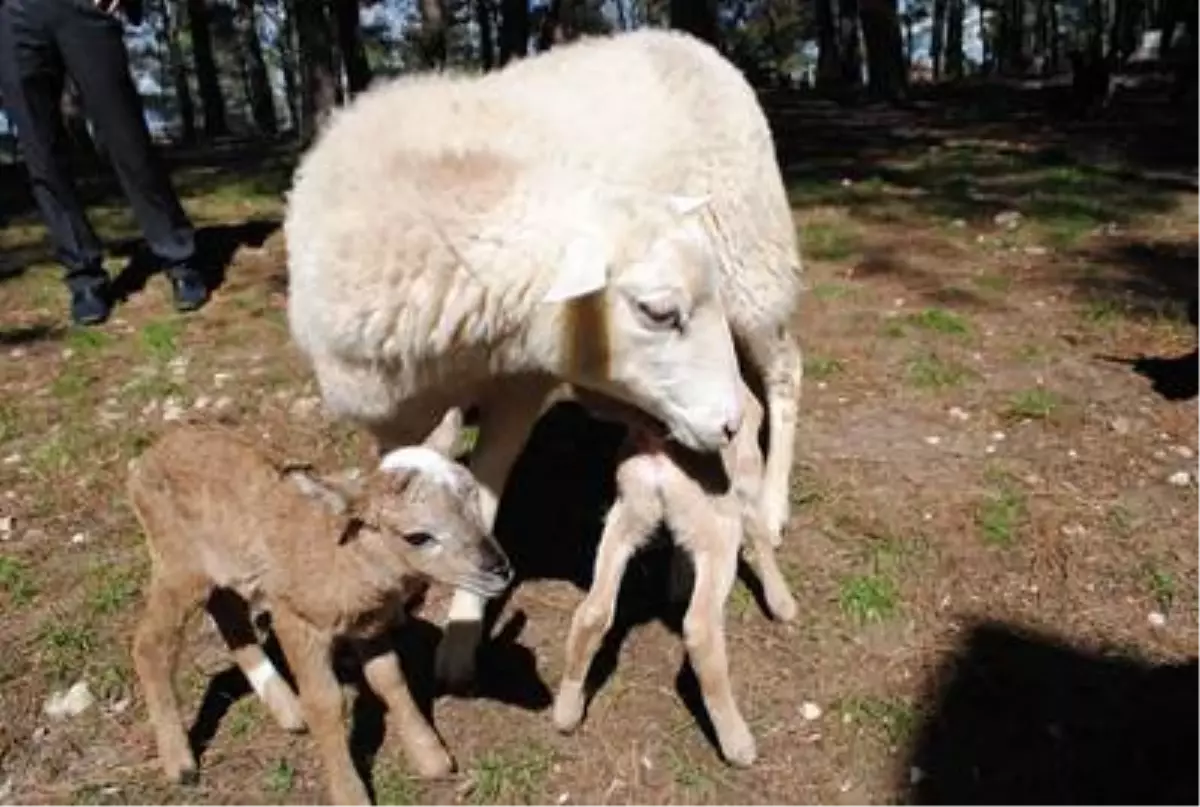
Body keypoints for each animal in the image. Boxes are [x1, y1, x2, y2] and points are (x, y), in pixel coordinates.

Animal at [126, 413, 511, 806]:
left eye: (475, 499)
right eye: (417, 537)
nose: (500, 569)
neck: (347, 558)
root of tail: (148, 457)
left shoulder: (368, 623)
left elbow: (389, 678)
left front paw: (431, 757)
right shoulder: (296, 618)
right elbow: (325, 703)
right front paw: (350, 794)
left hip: (223, 564)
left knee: (227, 612)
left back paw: (288, 711)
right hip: (177, 560)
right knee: (150, 644)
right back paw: (181, 764)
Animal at [284, 28, 801, 691]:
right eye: (658, 312)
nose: (725, 422)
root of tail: (683, 40)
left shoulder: (517, 387)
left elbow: (482, 494)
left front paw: (460, 638)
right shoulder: (388, 412)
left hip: (751, 260)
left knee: (784, 376)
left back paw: (772, 503)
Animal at [549, 381, 796, 763]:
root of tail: (658, 451)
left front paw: (678, 584)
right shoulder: (745, 476)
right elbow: (758, 533)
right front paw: (782, 604)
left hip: (629, 511)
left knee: (592, 611)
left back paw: (566, 713)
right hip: (716, 525)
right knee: (700, 628)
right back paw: (738, 744)